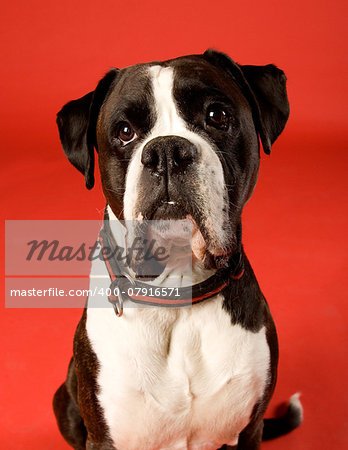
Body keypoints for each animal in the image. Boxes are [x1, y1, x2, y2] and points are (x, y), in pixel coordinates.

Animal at [53, 50, 304, 450]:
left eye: (217, 115)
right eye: (125, 132)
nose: (167, 151)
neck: (178, 295)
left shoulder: (249, 431)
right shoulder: (104, 438)